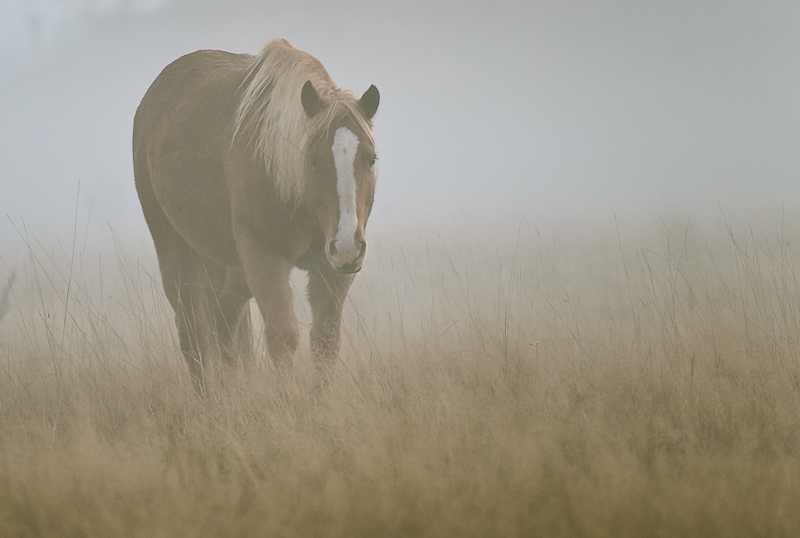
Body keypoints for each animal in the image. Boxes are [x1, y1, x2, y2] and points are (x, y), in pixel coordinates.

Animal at [133, 38, 380, 390]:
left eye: (371, 159)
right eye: (312, 159)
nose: (346, 245)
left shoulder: (332, 269)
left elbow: (325, 341)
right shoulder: (266, 257)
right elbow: (283, 337)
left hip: (232, 266)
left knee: (225, 319)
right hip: (175, 248)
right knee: (195, 333)